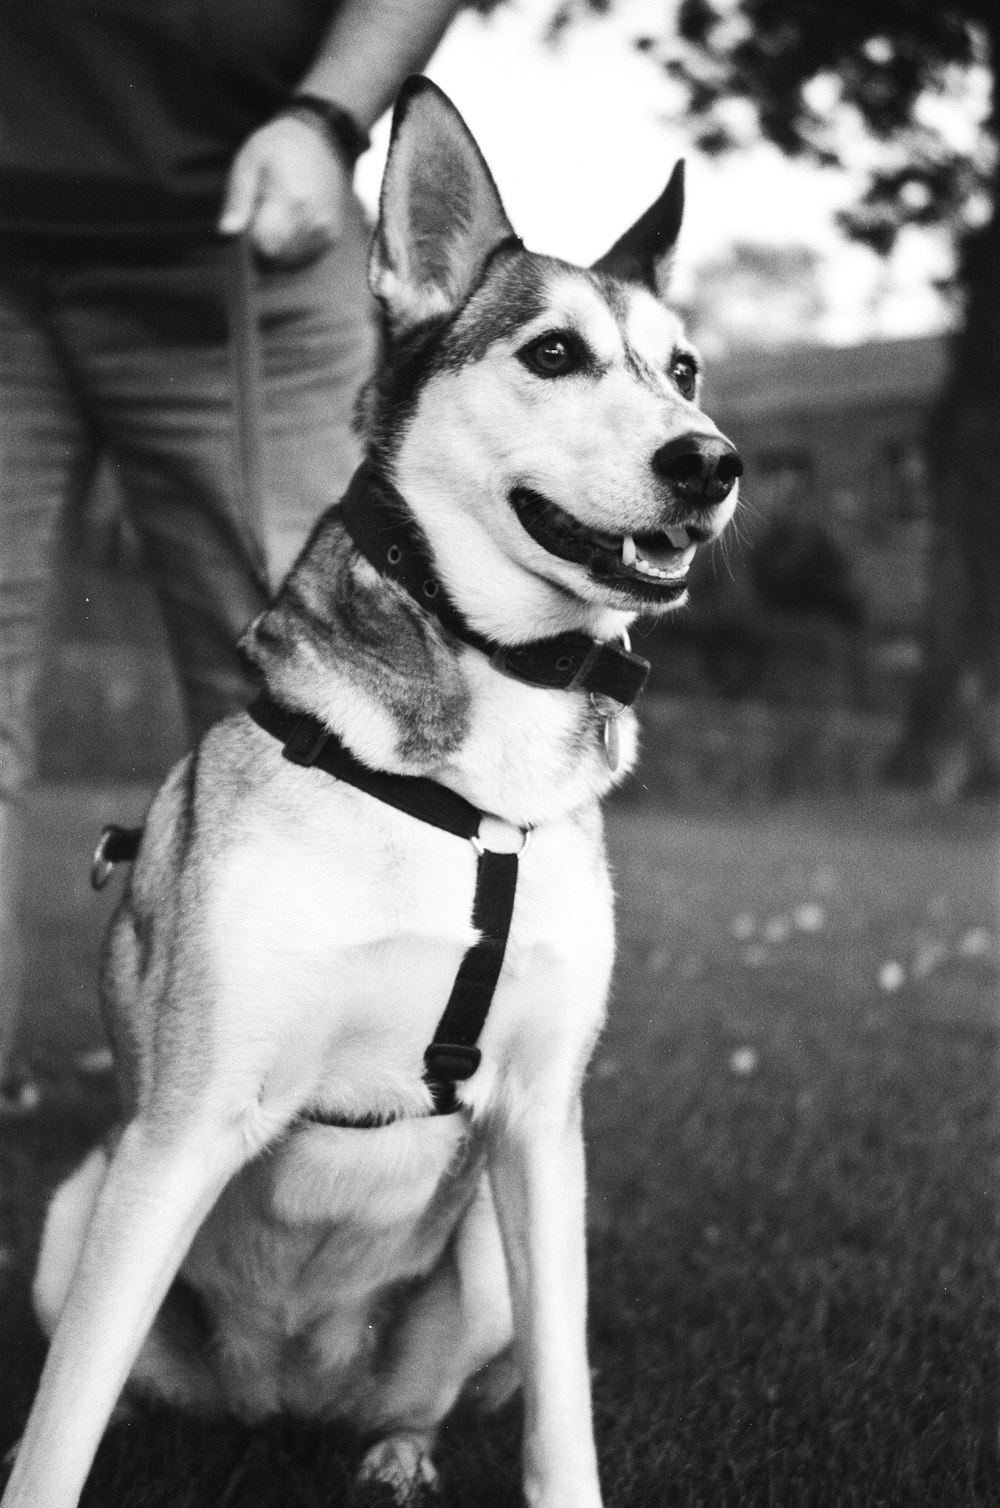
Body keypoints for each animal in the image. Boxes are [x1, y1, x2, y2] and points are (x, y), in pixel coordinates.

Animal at [3, 79, 739, 1508]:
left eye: (681, 369)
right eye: (553, 353)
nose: (710, 463)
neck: (471, 777)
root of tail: (284, 1391)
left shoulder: (542, 1124)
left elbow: (561, 1411)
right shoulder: (184, 1125)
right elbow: (66, 1423)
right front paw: (38, 1452)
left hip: (483, 1266)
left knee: (432, 1393)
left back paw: (397, 1447)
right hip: (77, 1207)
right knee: (103, 1370)